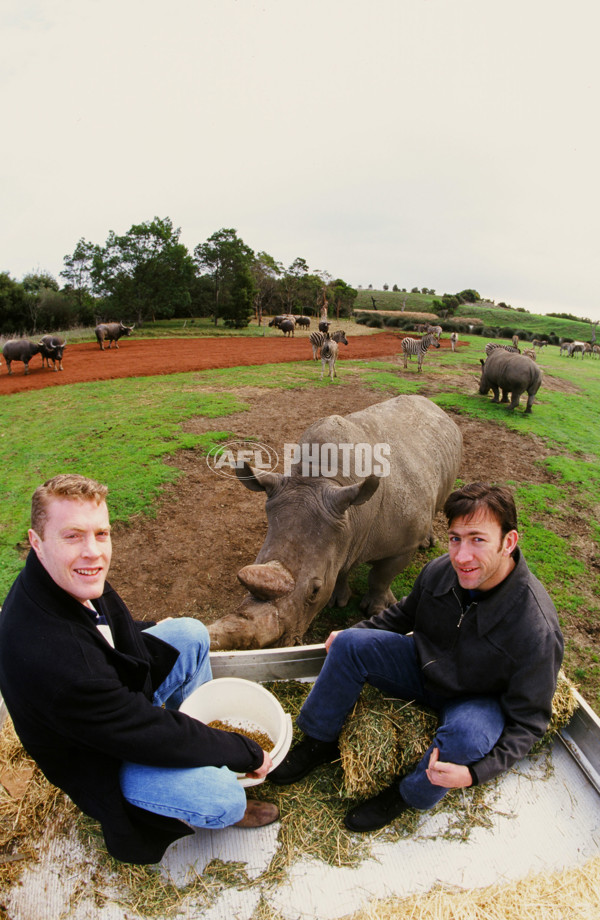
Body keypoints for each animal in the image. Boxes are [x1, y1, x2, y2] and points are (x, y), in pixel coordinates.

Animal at [207, 394, 464, 648]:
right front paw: (337, 601)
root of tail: (432, 404)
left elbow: (381, 576)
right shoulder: (341, 525)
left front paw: (375, 609)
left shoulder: (402, 544)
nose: (274, 647)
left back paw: (427, 543)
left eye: (314, 590)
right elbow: (340, 568)